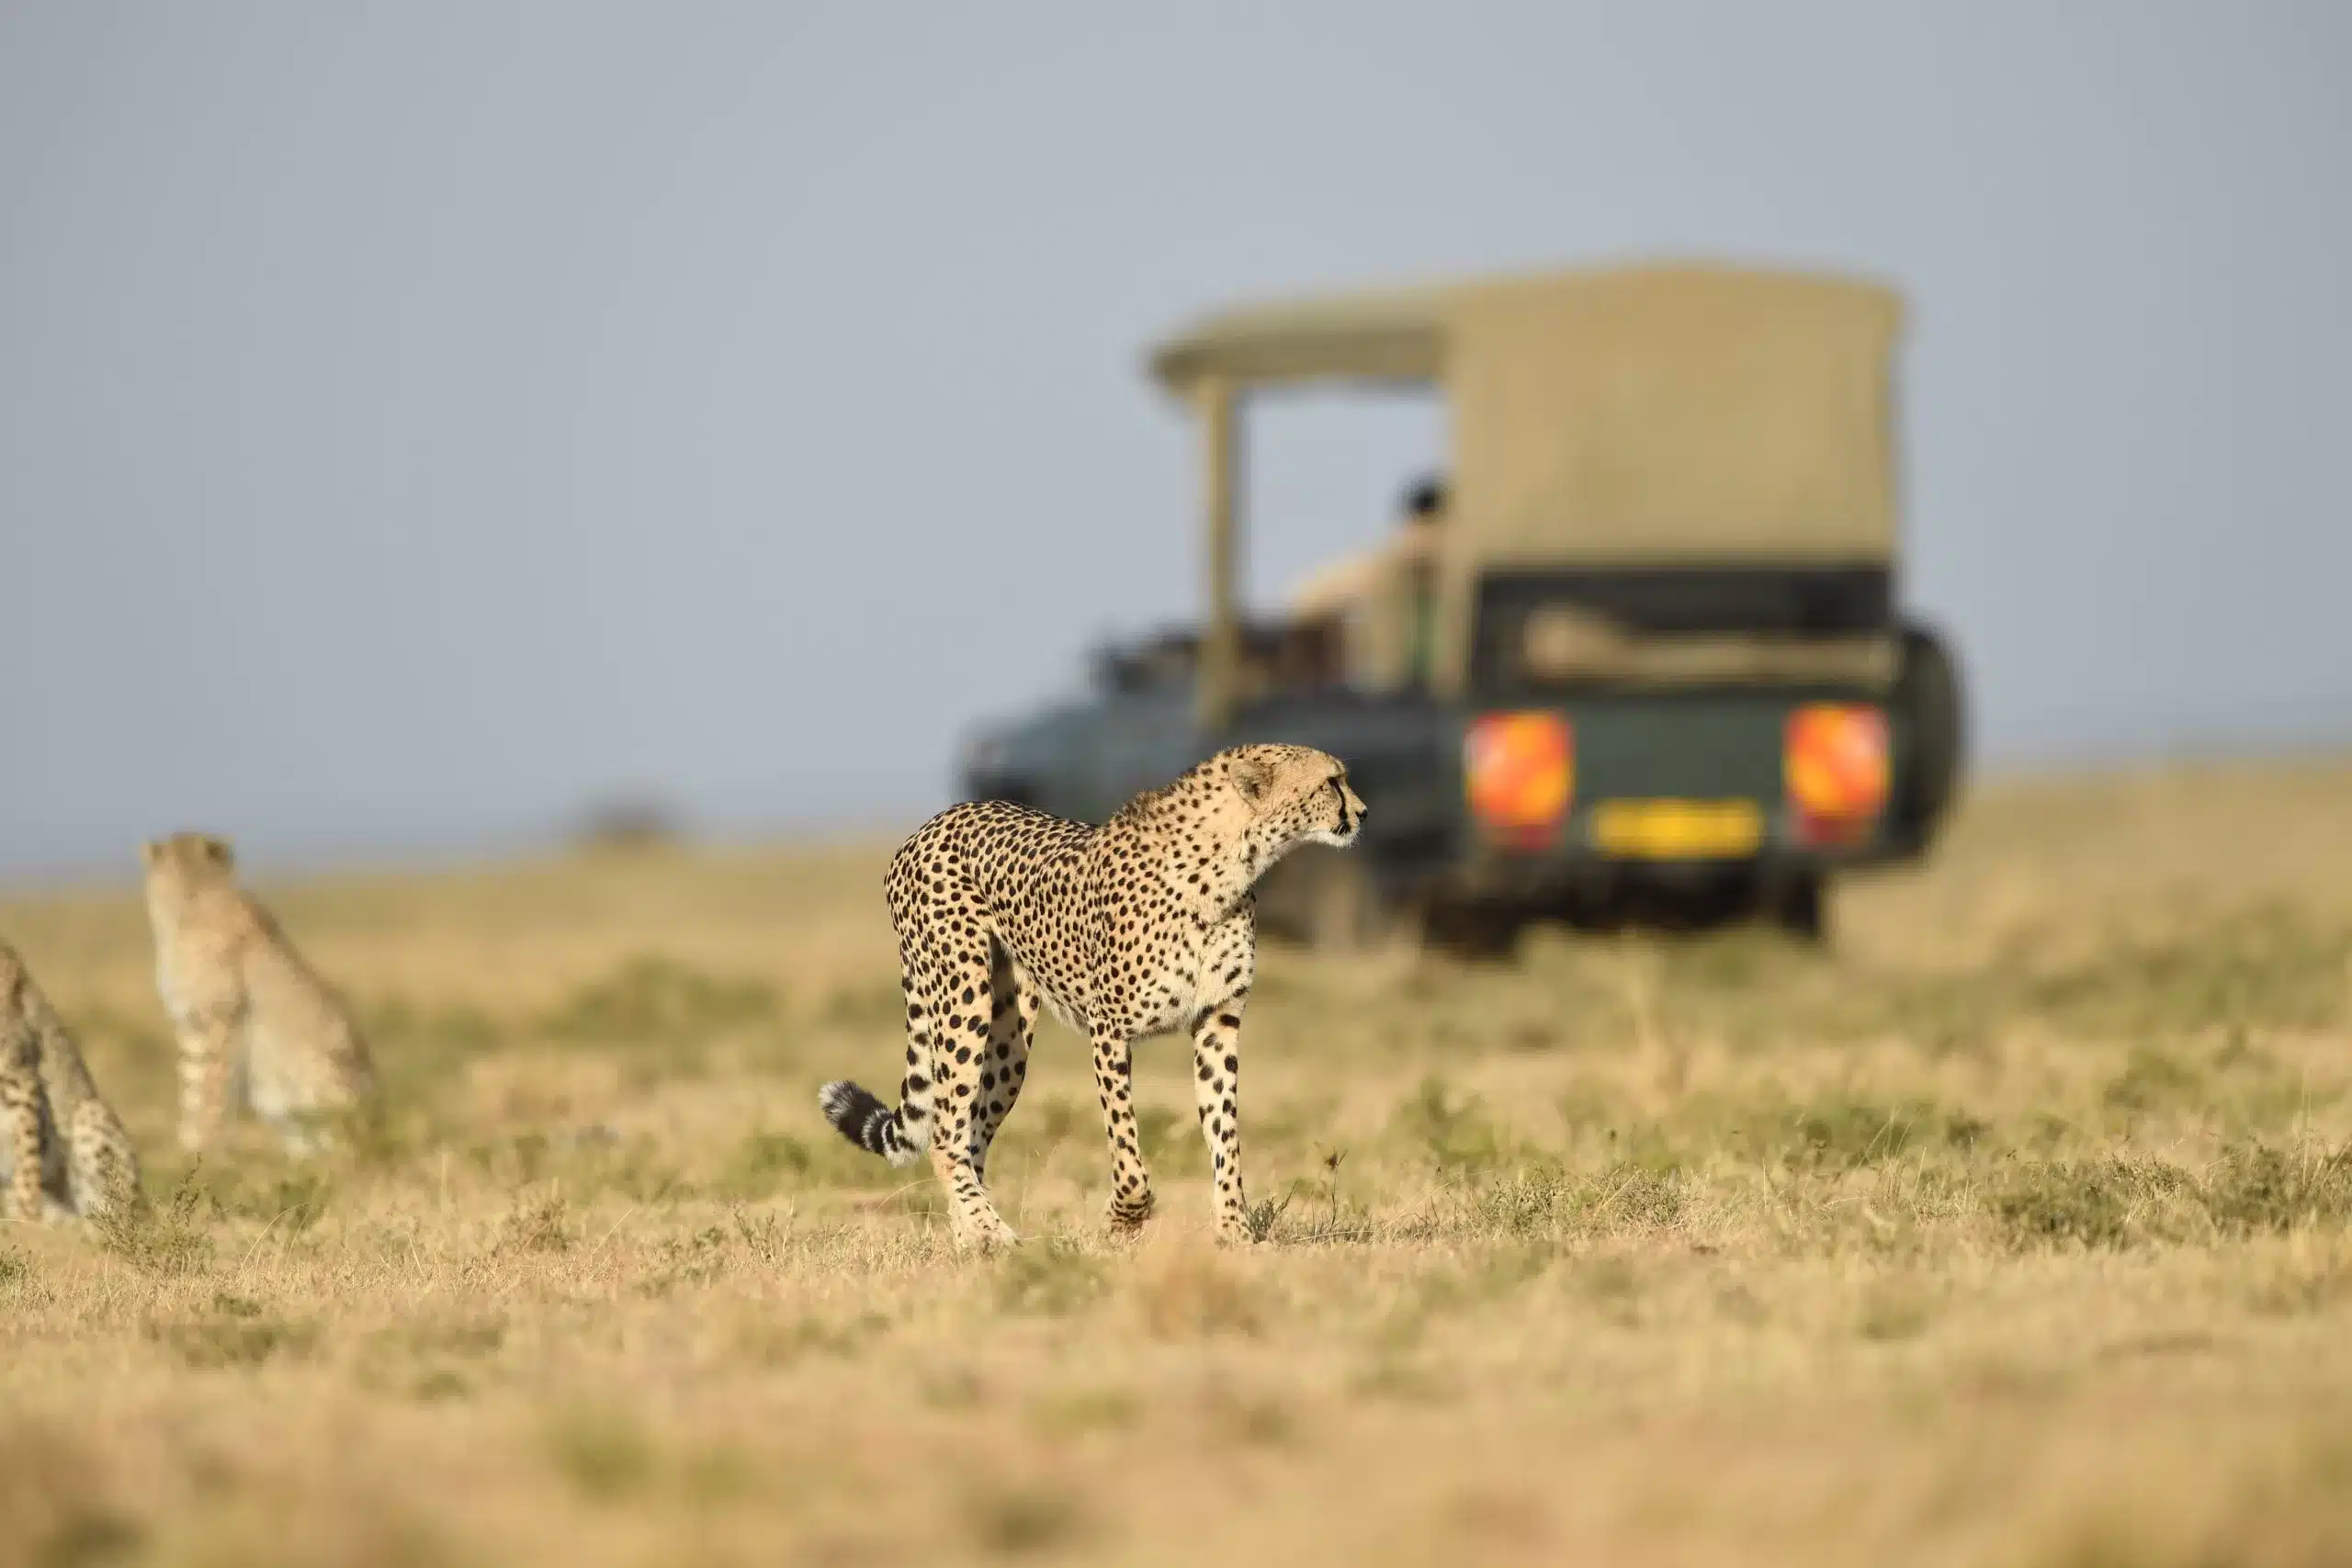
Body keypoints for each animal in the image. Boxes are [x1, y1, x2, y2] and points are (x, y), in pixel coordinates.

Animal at [139, 831, 376, 1152]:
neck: (190, 896)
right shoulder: (191, 1027)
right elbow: (192, 1088)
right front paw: (188, 1147)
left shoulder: (220, 1021)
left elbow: (211, 1091)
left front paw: (206, 1149)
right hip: (272, 1099)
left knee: (340, 1137)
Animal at [823, 747, 1363, 1250]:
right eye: (1331, 781)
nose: (1360, 813)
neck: (1228, 865)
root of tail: (930, 826)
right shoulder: (1109, 1029)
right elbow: (1126, 1145)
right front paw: (1122, 1220)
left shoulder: (1218, 1021)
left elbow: (1224, 1133)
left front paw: (1235, 1231)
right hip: (962, 998)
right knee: (944, 1135)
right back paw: (995, 1235)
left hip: (1009, 1042)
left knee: (970, 1135)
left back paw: (972, 1241)